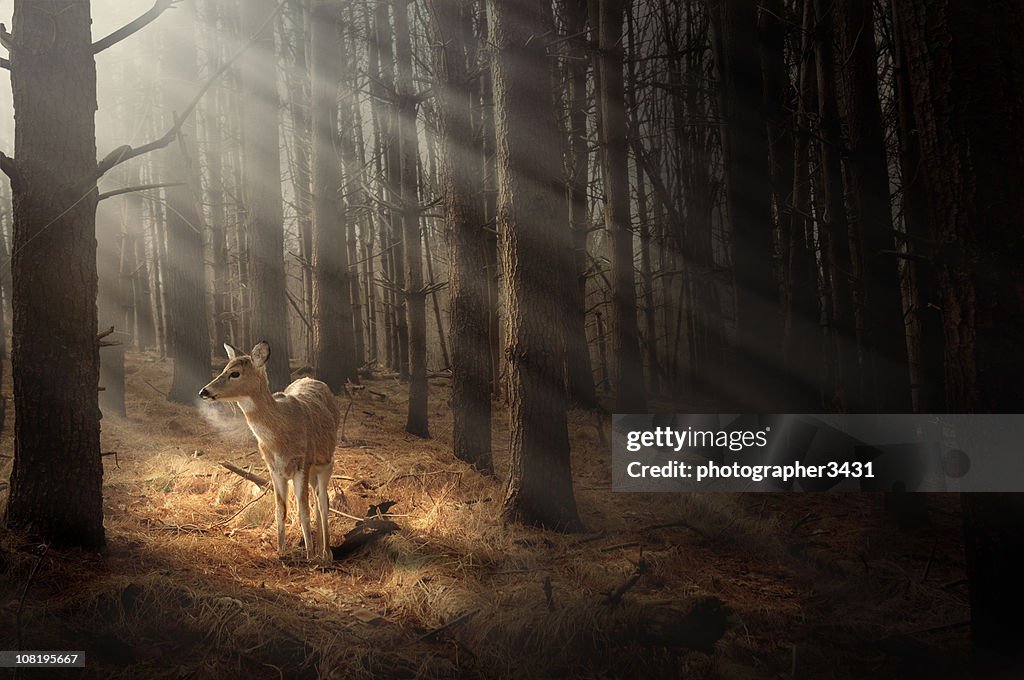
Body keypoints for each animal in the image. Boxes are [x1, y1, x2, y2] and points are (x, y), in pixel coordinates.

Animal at [197, 342, 342, 561]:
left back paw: (326, 553)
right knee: (318, 499)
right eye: (224, 368)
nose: (203, 391)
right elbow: (280, 509)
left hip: (326, 463)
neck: (280, 438)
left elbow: (303, 510)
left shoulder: (302, 463)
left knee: (322, 501)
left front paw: (309, 556)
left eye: (235, 373)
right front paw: (281, 552)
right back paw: (319, 549)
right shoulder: (274, 469)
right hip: (313, 471)